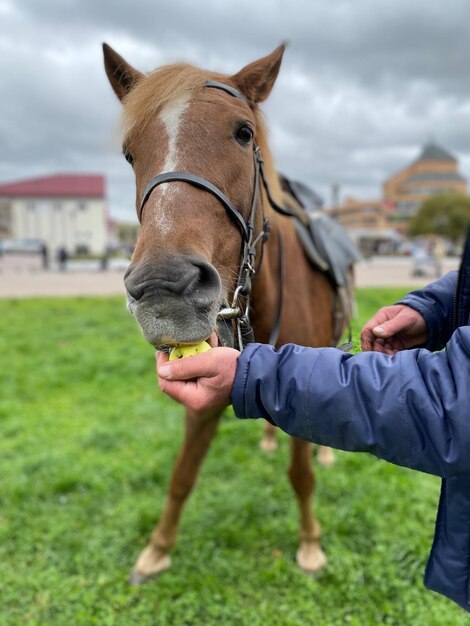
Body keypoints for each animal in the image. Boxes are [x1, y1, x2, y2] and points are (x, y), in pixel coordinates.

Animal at [102, 41, 352, 584]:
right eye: (130, 152)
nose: (164, 289)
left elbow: (301, 474)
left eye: (244, 133)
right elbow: (182, 475)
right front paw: (157, 550)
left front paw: (310, 543)